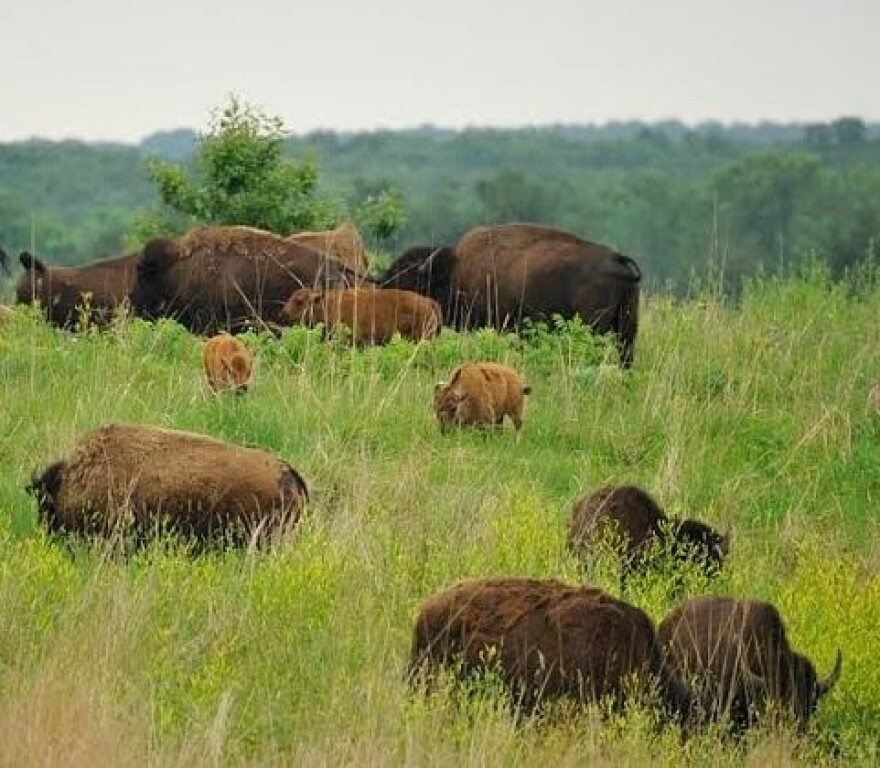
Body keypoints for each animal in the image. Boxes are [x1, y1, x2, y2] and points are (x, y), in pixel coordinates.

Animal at [382, 224, 642, 367]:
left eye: (409, 279)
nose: (384, 289)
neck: (454, 270)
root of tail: (618, 260)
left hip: (596, 327)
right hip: (627, 328)